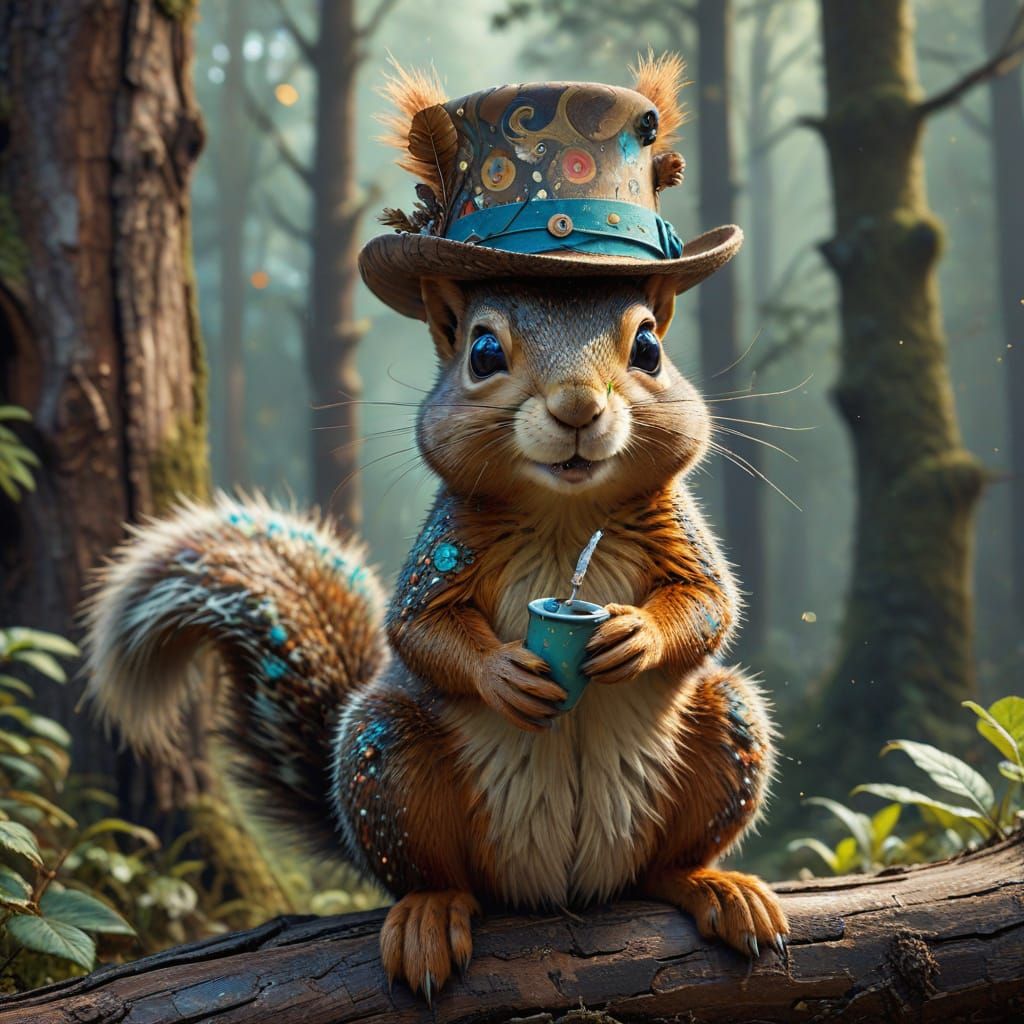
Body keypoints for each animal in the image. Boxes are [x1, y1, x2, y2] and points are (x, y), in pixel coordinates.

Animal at [83, 271, 788, 1000]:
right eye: (483, 353)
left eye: (649, 348)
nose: (578, 408)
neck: (566, 507)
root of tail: (560, 887)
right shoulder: (445, 544)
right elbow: (418, 628)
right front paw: (504, 675)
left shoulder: (679, 529)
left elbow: (711, 601)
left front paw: (637, 636)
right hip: (387, 758)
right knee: (436, 875)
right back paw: (428, 916)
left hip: (726, 728)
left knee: (664, 865)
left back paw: (713, 886)